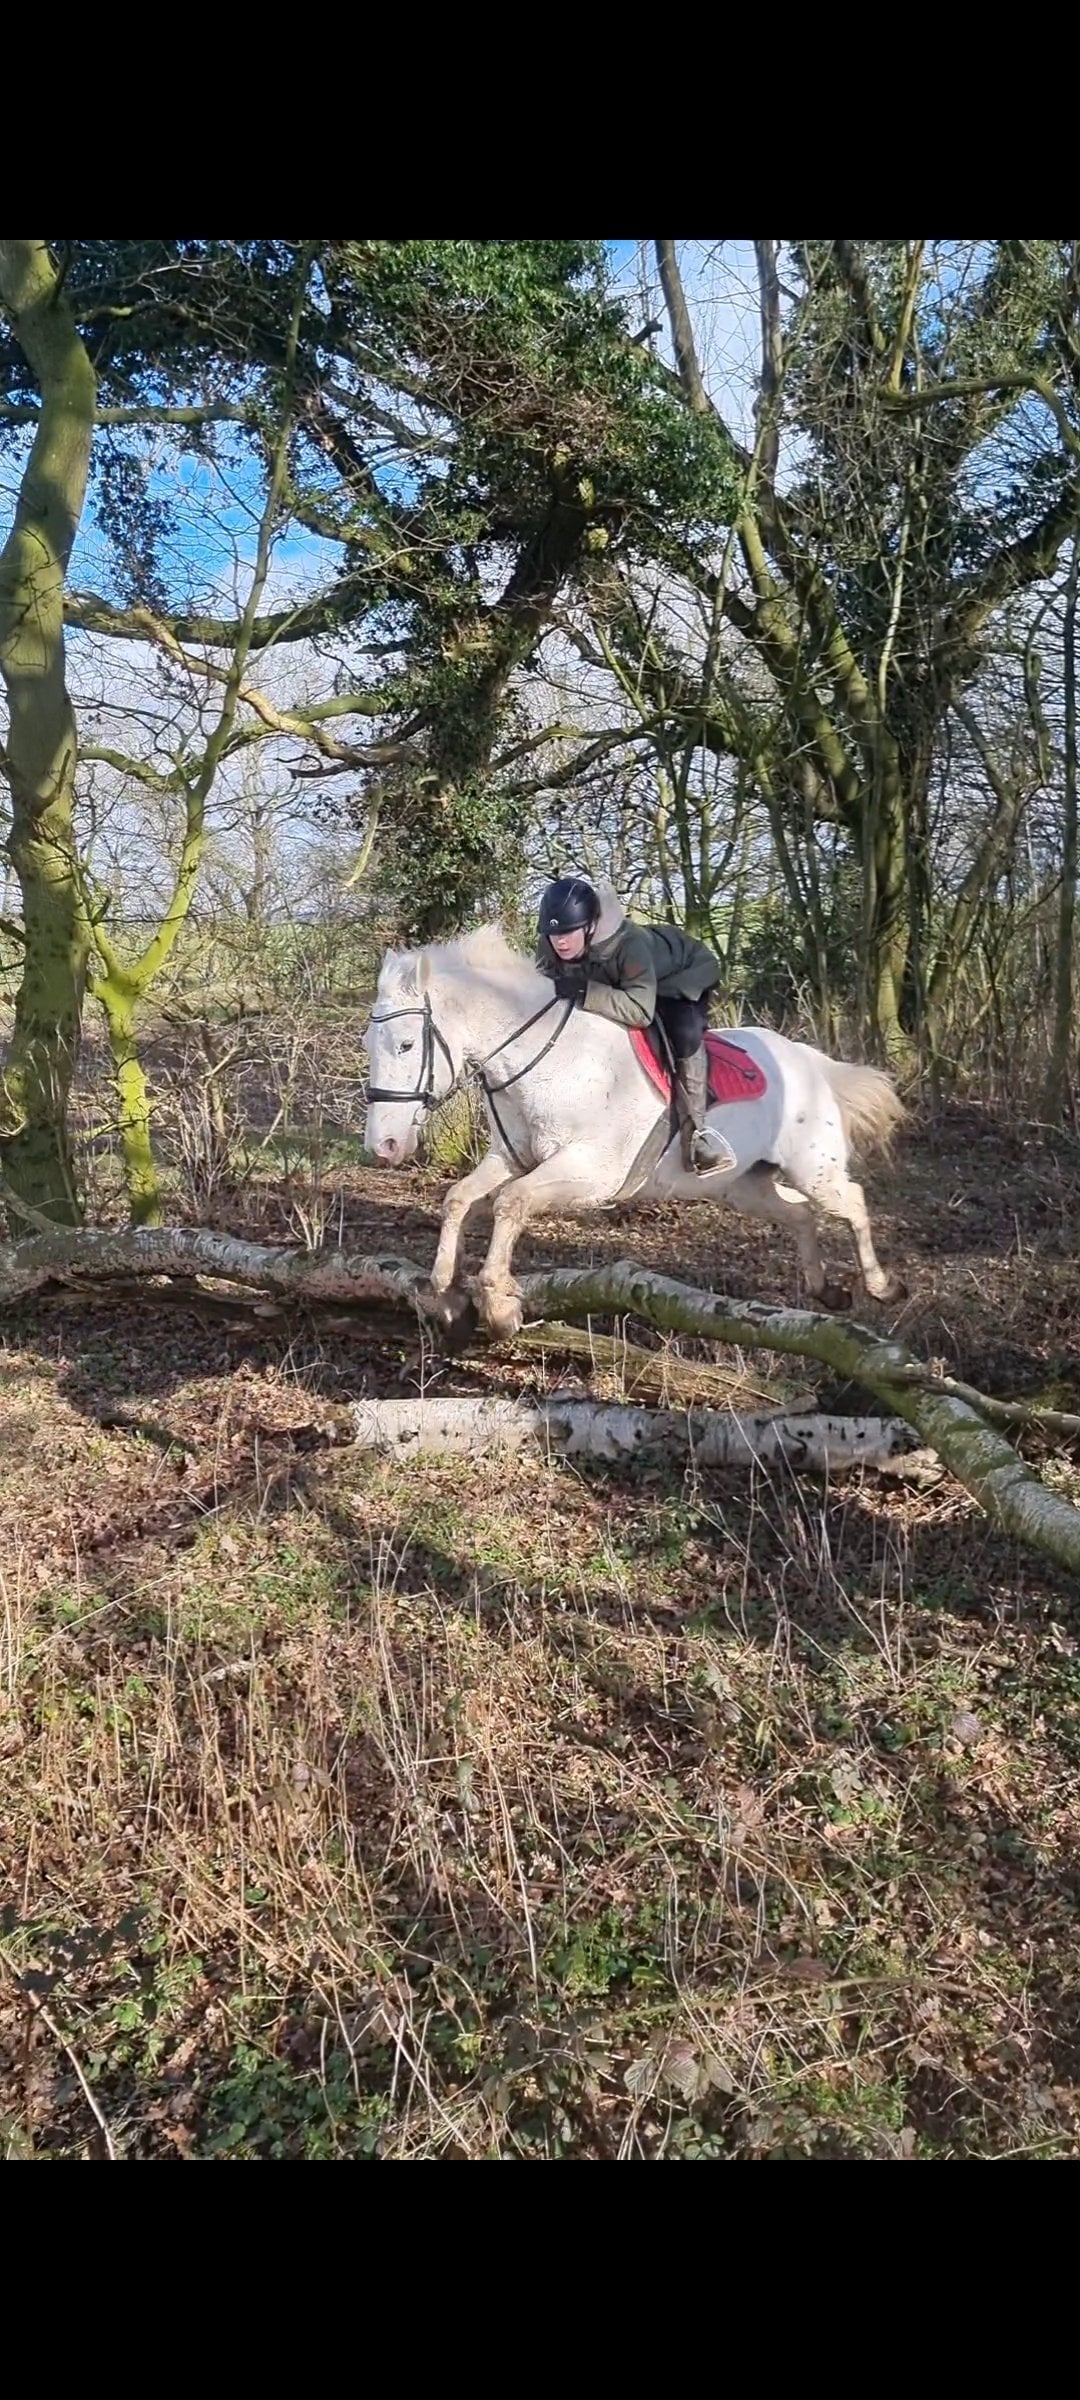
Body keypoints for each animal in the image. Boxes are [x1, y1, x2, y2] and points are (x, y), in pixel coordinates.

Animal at [363, 925, 905, 1341]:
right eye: (370, 1043)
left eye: (406, 1044)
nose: (383, 1147)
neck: (550, 1058)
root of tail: (812, 1062)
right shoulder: (514, 1159)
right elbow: (459, 1198)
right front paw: (446, 1294)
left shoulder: (592, 1173)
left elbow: (510, 1203)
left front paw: (499, 1306)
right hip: (742, 1186)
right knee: (800, 1216)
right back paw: (825, 1290)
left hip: (813, 1169)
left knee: (852, 1202)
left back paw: (883, 1286)